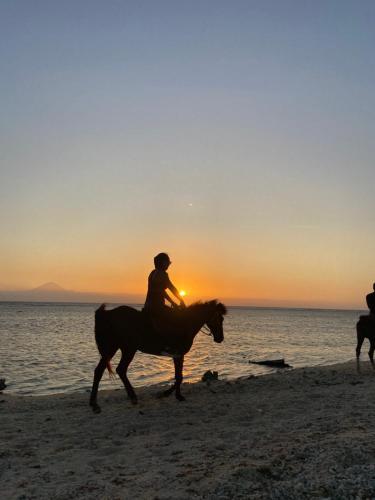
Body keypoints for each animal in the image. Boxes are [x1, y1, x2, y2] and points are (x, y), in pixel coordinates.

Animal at [89, 298, 228, 412]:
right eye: (220, 319)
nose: (220, 338)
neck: (184, 323)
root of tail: (108, 314)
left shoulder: (177, 355)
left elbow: (178, 376)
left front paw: (173, 394)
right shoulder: (178, 354)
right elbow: (179, 377)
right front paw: (170, 394)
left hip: (118, 348)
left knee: (106, 370)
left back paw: (99, 402)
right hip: (123, 348)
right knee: (114, 370)